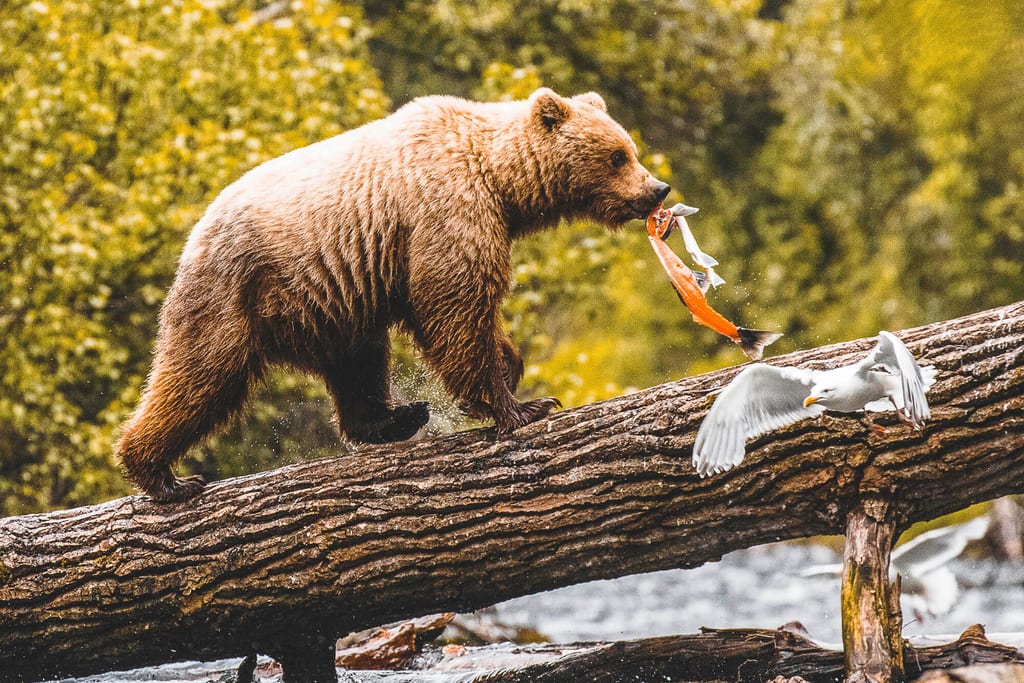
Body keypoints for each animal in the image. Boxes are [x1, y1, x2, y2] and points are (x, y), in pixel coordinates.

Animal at [116, 87, 671, 502]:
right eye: (618, 156)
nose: (657, 189)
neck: (499, 181)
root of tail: (194, 234)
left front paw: (511, 367)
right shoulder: (447, 211)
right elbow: (454, 303)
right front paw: (520, 405)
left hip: (333, 302)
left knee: (358, 363)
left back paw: (397, 417)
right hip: (240, 289)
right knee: (202, 373)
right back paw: (161, 474)